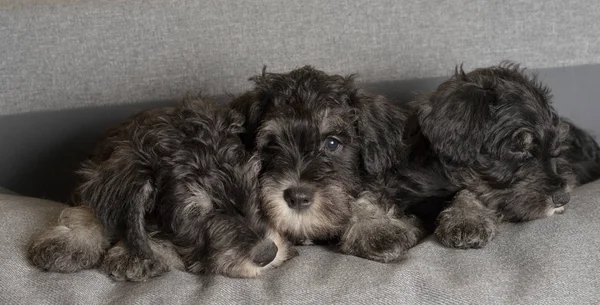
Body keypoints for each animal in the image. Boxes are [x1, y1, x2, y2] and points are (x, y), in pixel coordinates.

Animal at [27, 98, 296, 280]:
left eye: (253, 185)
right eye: (194, 215)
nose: (268, 253)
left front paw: (138, 254)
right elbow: (92, 208)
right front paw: (70, 242)